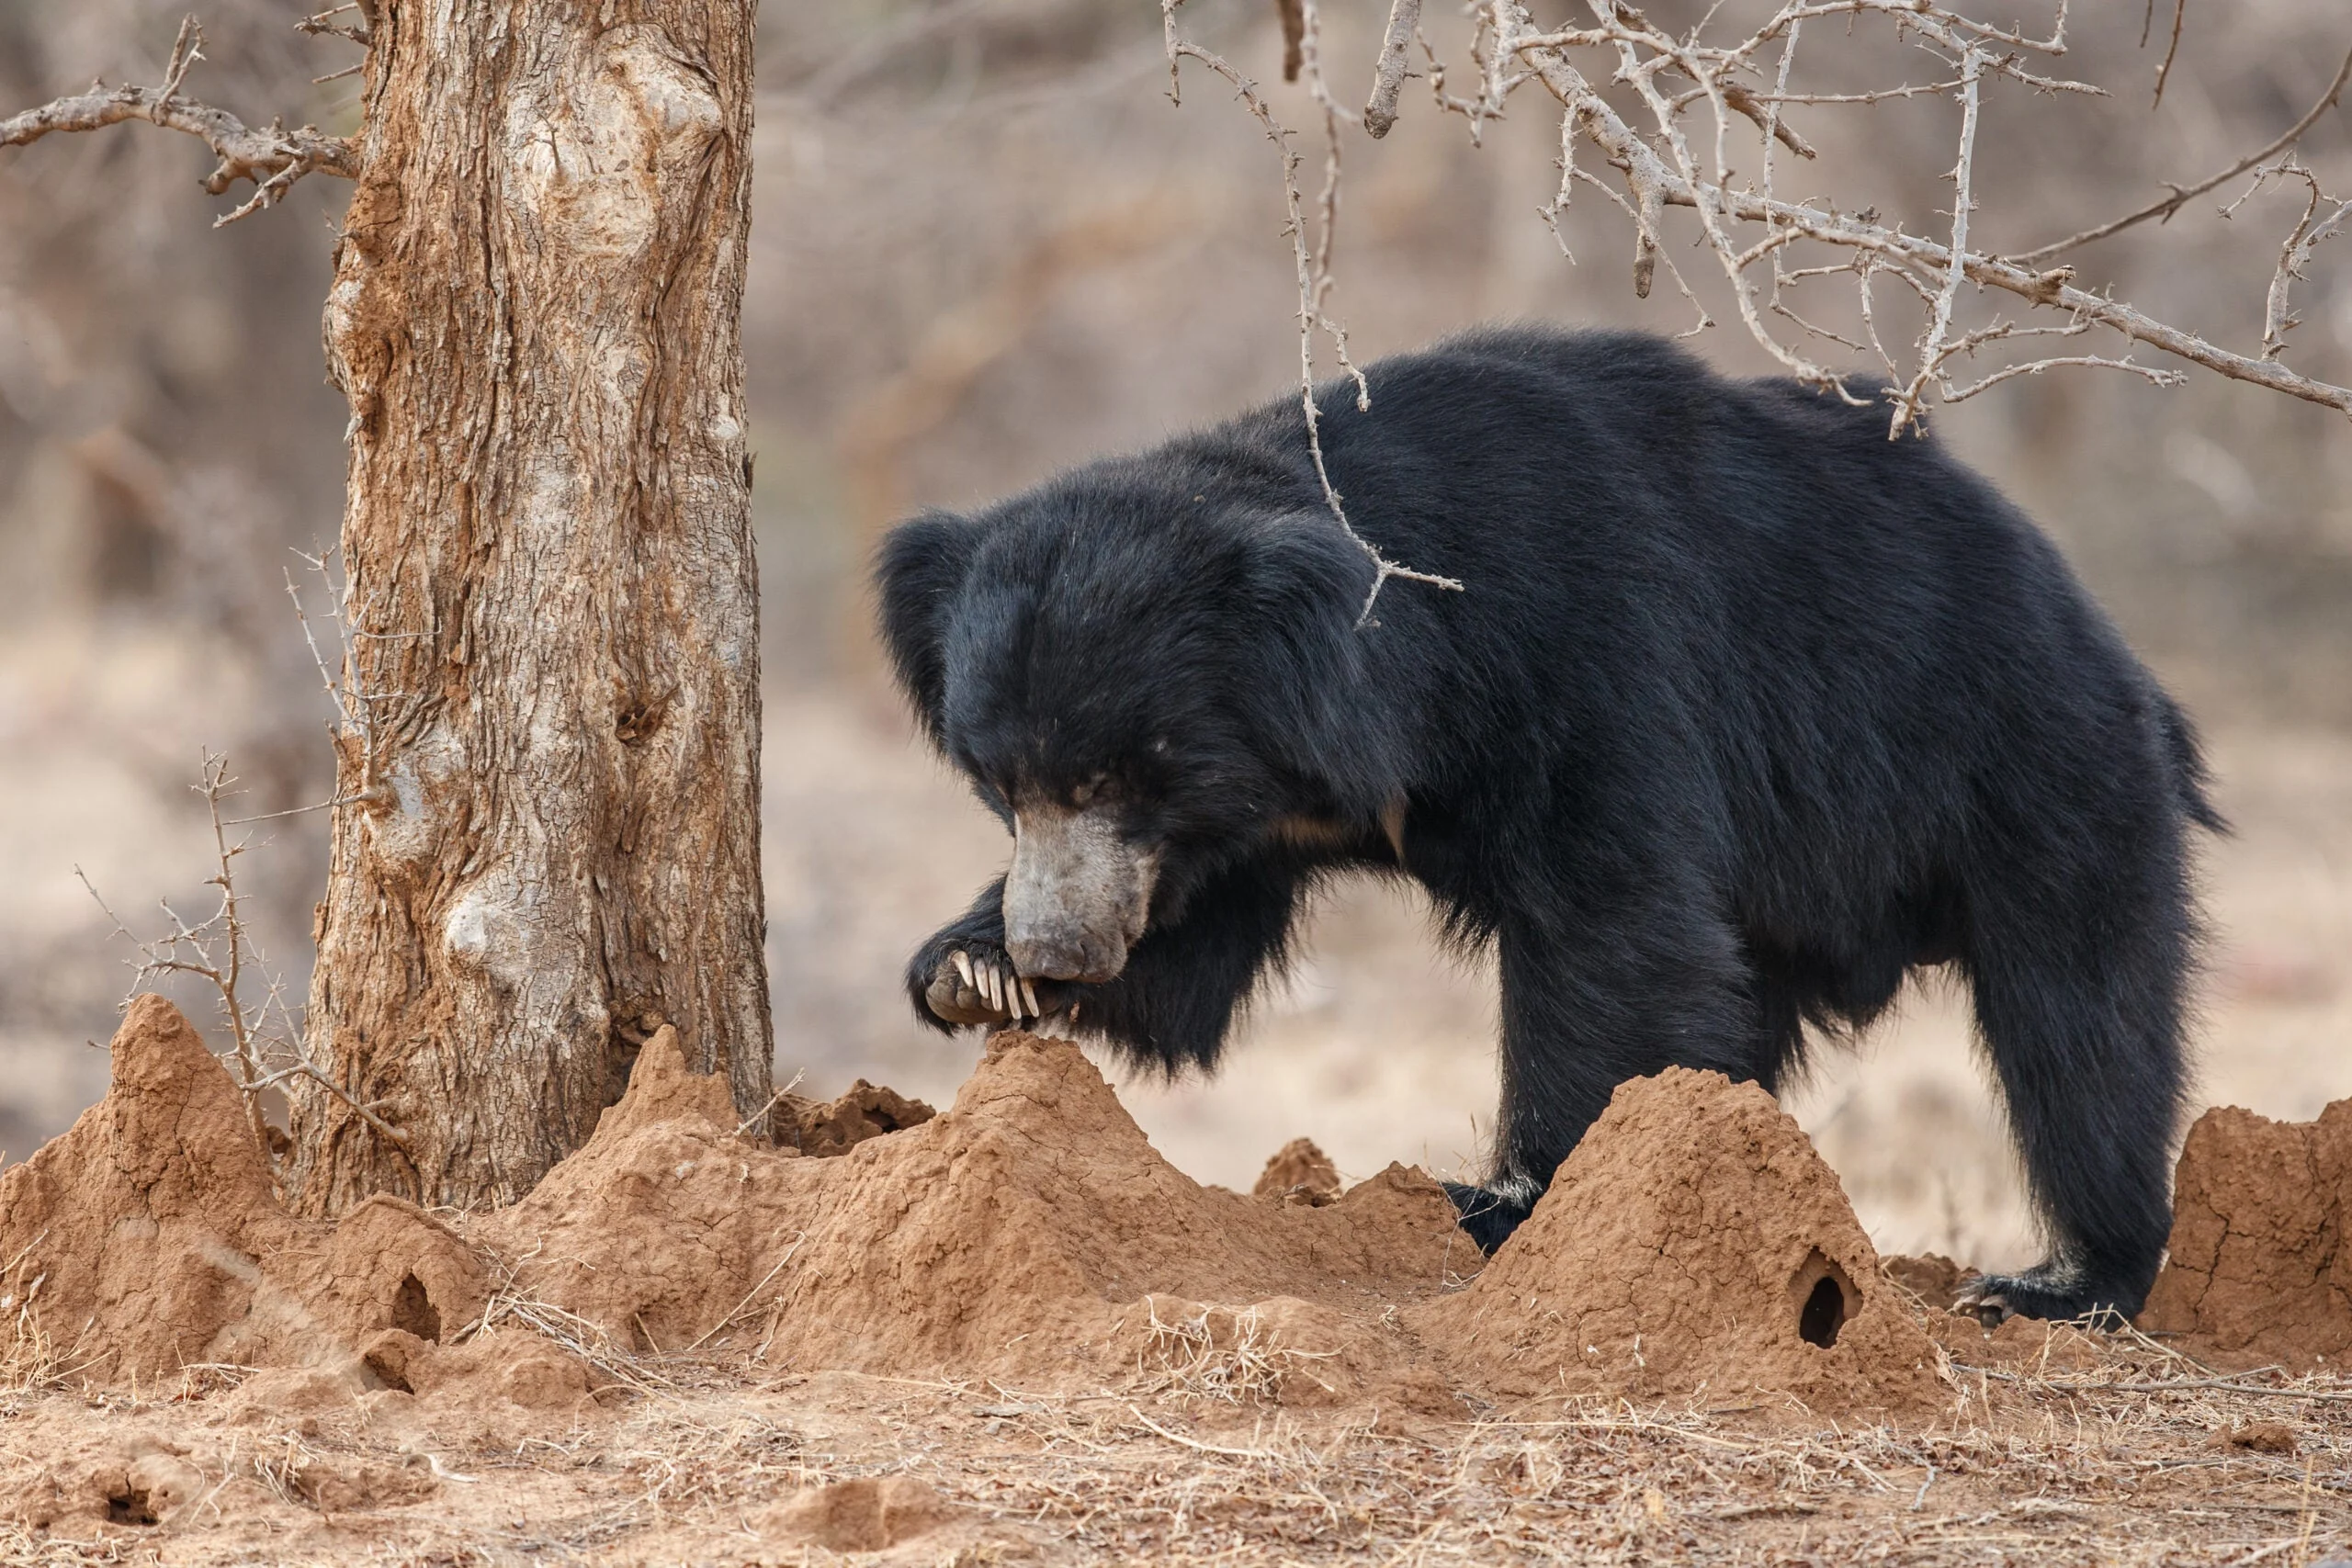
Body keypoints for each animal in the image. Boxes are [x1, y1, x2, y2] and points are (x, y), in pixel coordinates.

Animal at [875, 329, 2211, 1325]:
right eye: (1004, 782)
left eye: (1120, 775)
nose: (1054, 947)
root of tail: (2106, 640)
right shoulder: (1251, 818)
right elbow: (1192, 957)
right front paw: (970, 975)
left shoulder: (1587, 654)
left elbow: (1611, 923)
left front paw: (1508, 1200)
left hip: (2030, 770)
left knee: (2080, 1024)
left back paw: (2065, 1280)